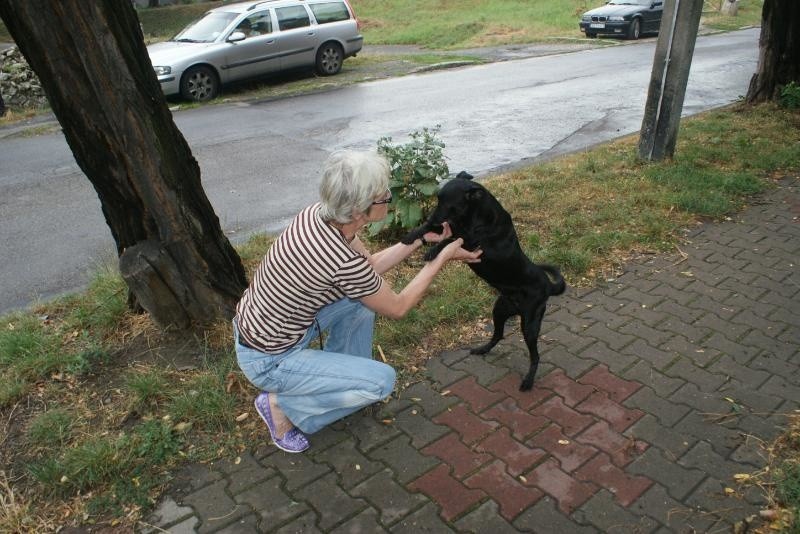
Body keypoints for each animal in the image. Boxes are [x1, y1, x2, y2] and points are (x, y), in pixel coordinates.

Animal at [404, 173, 564, 394]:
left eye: (449, 204)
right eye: (438, 199)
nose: (431, 217)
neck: (476, 217)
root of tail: (548, 285)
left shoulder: (471, 242)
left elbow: (451, 240)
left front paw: (432, 250)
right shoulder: (452, 227)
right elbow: (434, 230)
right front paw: (412, 234)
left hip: (530, 324)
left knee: (536, 356)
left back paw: (528, 381)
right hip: (499, 310)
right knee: (498, 335)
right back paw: (483, 349)